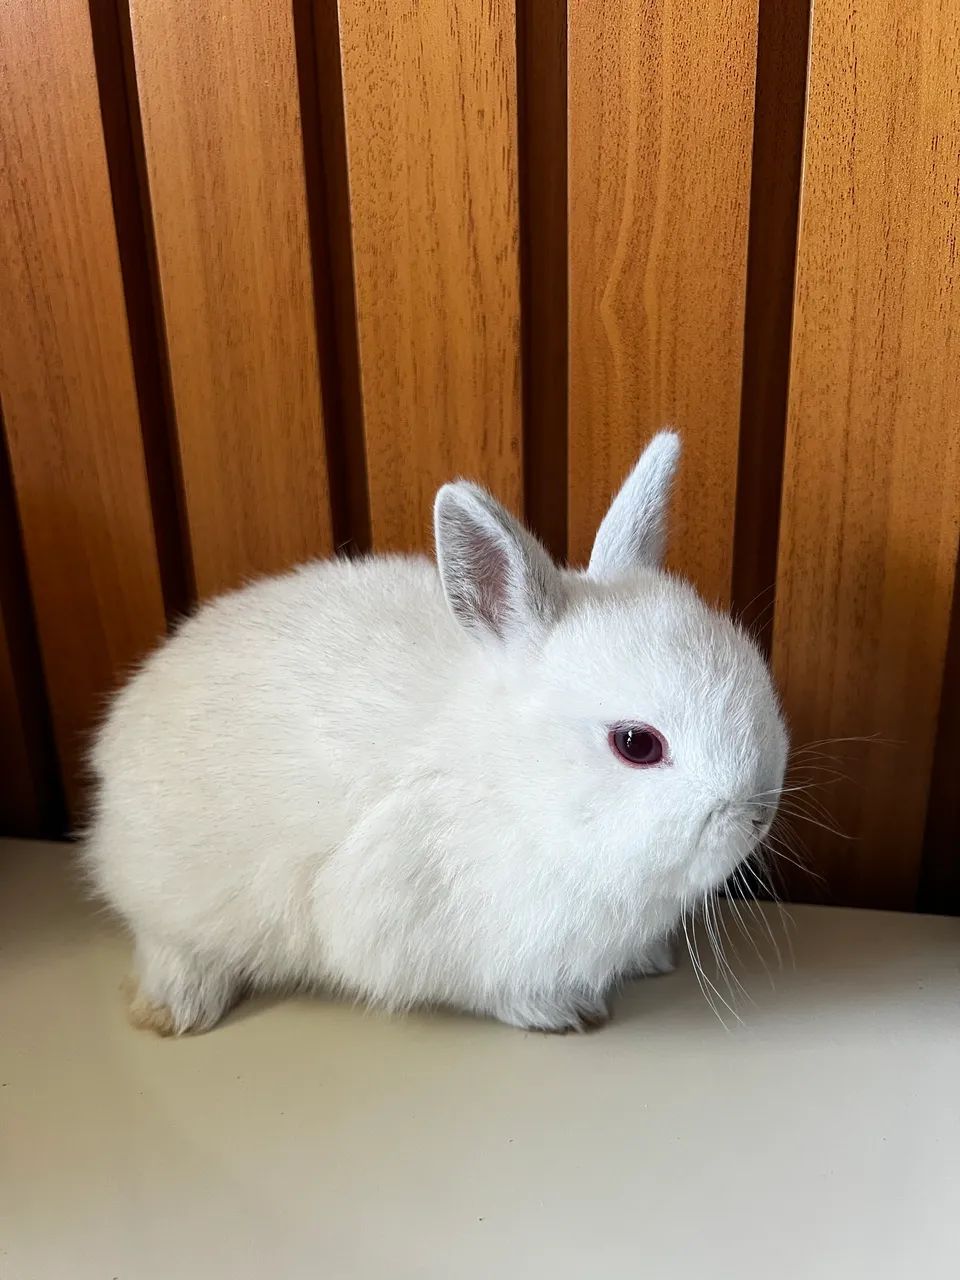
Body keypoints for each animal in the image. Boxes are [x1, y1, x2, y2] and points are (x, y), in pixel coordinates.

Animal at [84, 431, 788, 1036]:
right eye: (637, 744)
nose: (756, 816)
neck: (515, 785)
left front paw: (650, 960)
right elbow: (492, 989)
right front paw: (563, 1013)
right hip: (174, 895)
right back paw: (175, 1009)